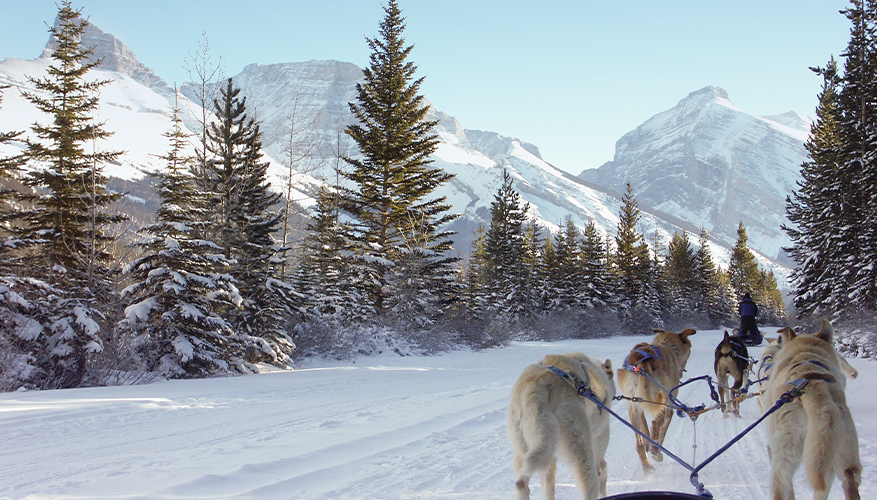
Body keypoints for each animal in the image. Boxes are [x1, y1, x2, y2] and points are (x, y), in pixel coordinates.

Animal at [506, 352, 616, 500]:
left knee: (523, 484)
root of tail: (534, 391)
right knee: (590, 482)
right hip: (580, 450)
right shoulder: (600, 436)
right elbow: (602, 471)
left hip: (532, 453)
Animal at [612, 328, 696, 472]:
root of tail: (643, 365)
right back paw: (655, 450)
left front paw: (648, 444)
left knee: (639, 443)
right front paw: (657, 453)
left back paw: (647, 465)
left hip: (633, 405)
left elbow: (645, 428)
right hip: (662, 399)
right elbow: (662, 430)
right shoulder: (669, 406)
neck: (667, 345)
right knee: (656, 424)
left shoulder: (638, 404)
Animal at [764, 320, 860, 500]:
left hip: (785, 454)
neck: (806, 353)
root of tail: (815, 389)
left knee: (782, 485)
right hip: (842, 455)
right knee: (846, 480)